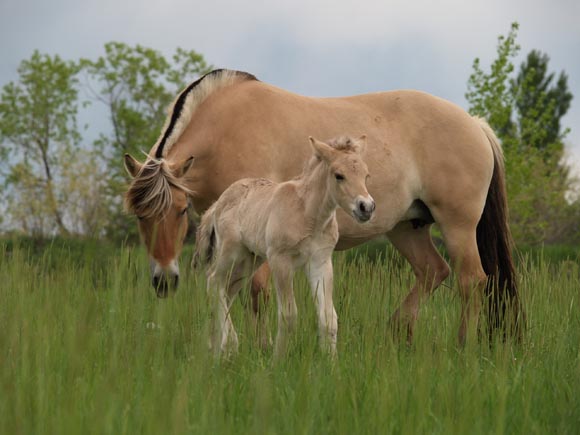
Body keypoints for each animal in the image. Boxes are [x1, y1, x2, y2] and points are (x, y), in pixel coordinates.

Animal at [196, 135, 376, 358]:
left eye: (366, 175)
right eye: (339, 175)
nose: (366, 207)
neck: (308, 215)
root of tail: (217, 204)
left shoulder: (320, 261)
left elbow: (328, 318)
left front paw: (330, 363)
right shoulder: (280, 261)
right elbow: (288, 315)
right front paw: (278, 360)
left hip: (249, 260)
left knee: (226, 290)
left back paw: (216, 350)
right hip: (230, 253)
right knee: (214, 281)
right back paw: (229, 345)